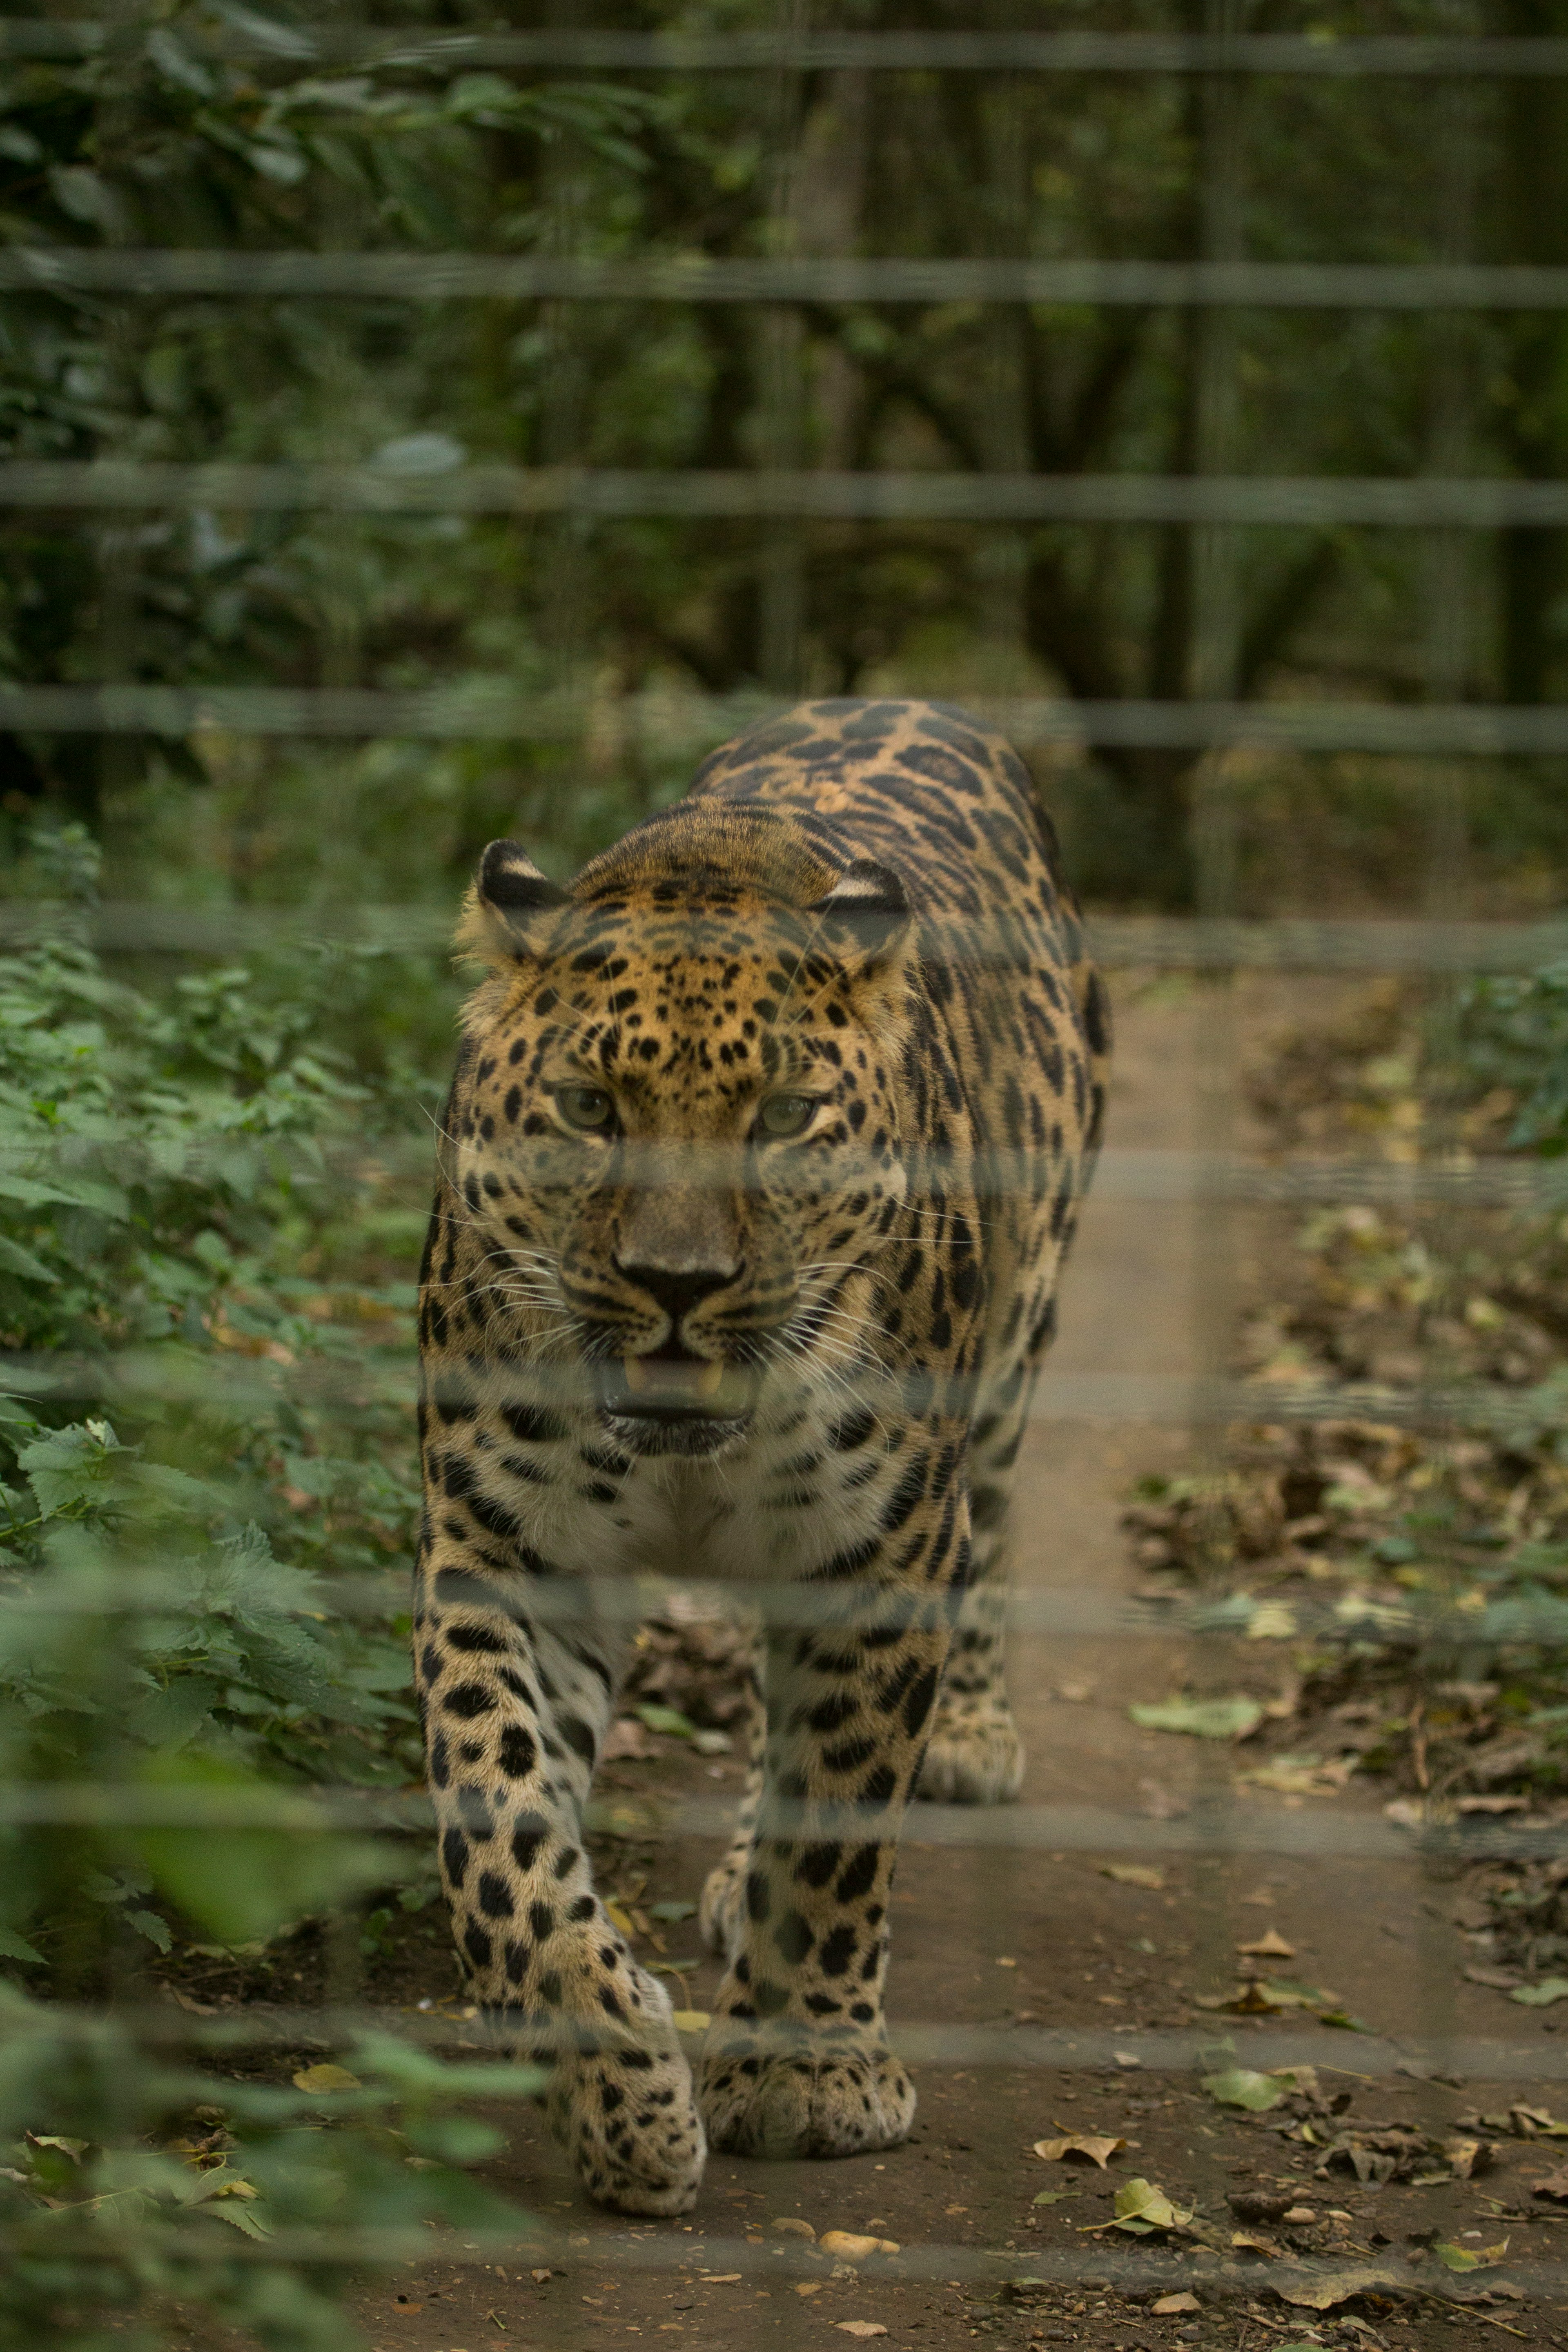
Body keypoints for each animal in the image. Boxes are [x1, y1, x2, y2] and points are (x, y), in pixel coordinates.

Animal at [411, 686, 1109, 2211]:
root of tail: (911, 696)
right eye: (591, 1109)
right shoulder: (508, 1545)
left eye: (784, 1119)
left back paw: (965, 1737)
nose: (677, 1285)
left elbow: (836, 1813)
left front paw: (805, 2069)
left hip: (1012, 1358)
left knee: (986, 1540)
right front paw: (611, 2082)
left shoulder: (877, 1547)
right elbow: (500, 1819)